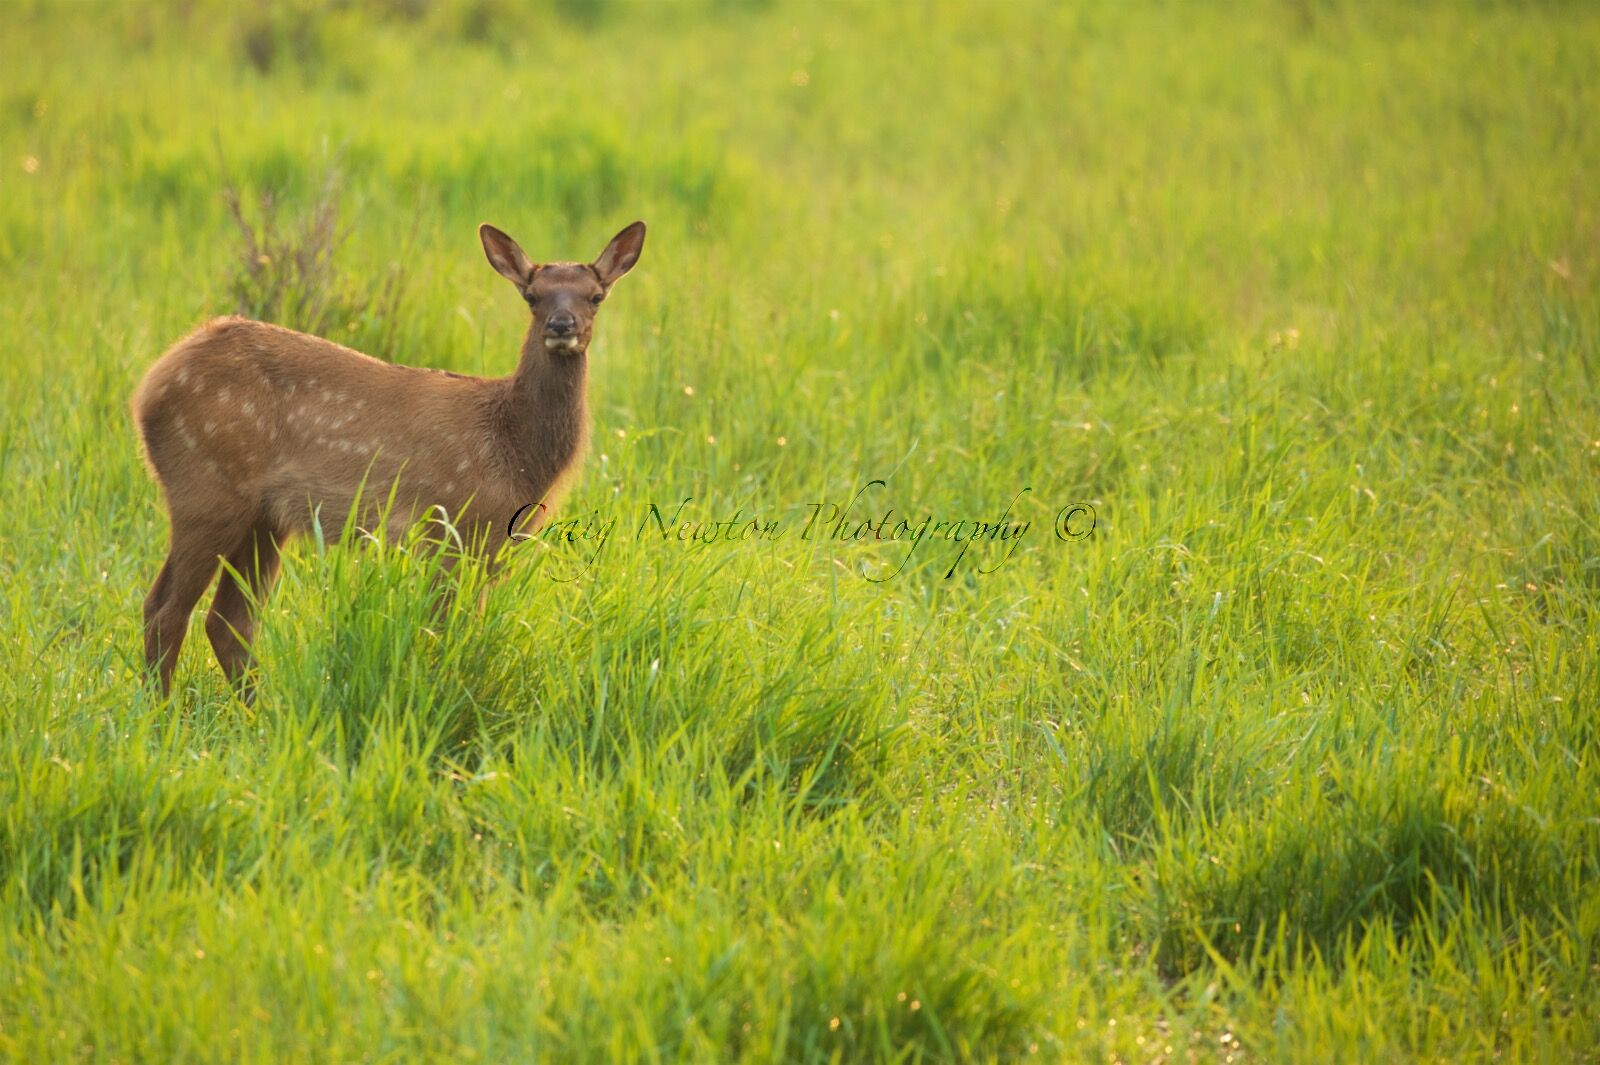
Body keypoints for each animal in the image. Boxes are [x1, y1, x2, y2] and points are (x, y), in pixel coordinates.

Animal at [132, 220, 646, 696]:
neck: (512, 449)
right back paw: (163, 712)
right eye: (532, 296)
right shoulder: (448, 530)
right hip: (206, 487)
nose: (562, 326)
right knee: (165, 607)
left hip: (265, 518)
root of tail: (148, 388)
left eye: (595, 296)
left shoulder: (485, 549)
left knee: (228, 620)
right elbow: (445, 634)